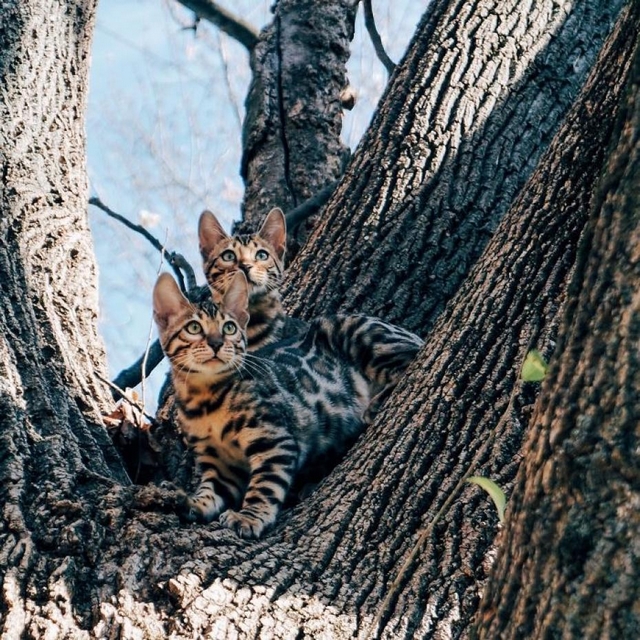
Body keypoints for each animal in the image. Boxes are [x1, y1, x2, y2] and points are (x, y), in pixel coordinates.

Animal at [153, 268, 372, 536]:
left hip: (350, 328)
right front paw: (193, 502)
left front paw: (249, 517)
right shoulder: (218, 462)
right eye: (194, 327)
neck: (205, 401)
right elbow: (211, 490)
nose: (217, 343)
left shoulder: (274, 440)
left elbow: (265, 486)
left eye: (229, 328)